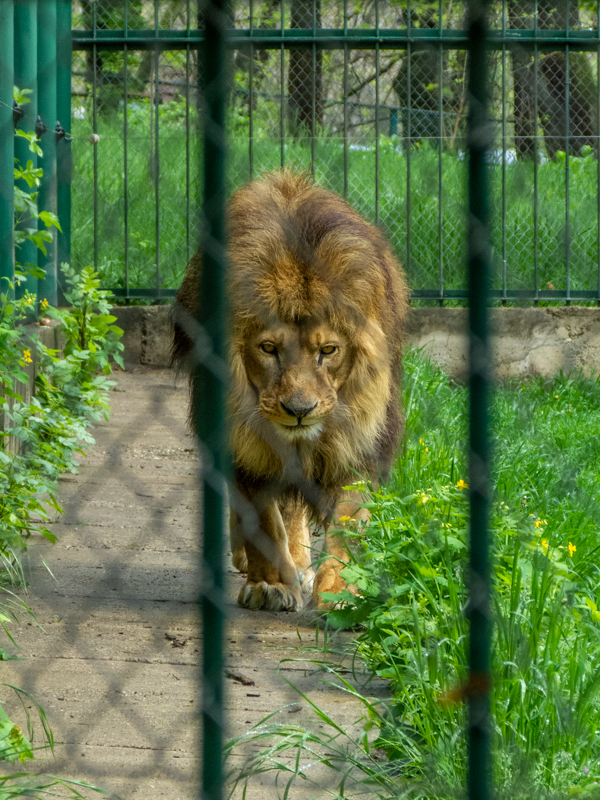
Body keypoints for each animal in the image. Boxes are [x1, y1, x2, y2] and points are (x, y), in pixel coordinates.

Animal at [172, 170, 409, 612]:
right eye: (268, 349)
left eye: (327, 351)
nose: (299, 409)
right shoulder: (243, 438)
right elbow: (263, 519)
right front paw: (270, 585)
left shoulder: (360, 438)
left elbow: (349, 522)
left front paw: (340, 590)